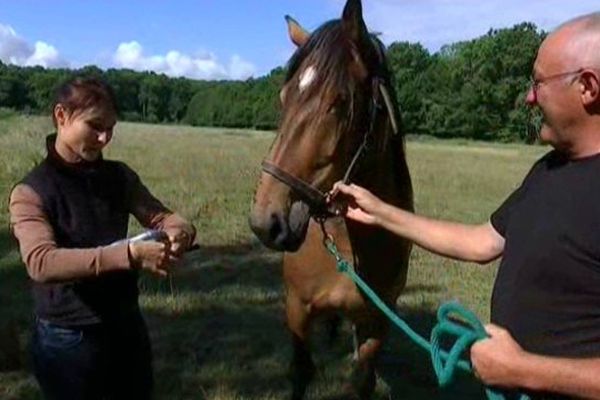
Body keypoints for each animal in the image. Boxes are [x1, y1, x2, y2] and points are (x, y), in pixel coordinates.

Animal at [248, 1, 412, 398]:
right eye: (284, 98)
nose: (266, 220)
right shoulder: (297, 308)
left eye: (338, 102)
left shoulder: (376, 324)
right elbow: (301, 371)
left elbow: (363, 379)